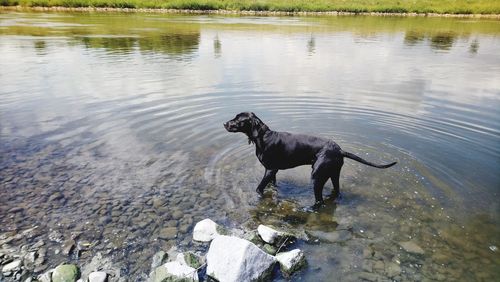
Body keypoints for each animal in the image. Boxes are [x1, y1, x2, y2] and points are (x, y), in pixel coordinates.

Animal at [225, 111, 396, 206]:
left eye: (238, 119)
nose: (225, 123)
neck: (263, 137)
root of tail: (339, 150)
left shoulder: (270, 170)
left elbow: (259, 188)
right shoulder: (272, 171)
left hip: (317, 177)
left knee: (319, 201)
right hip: (333, 174)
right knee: (336, 191)